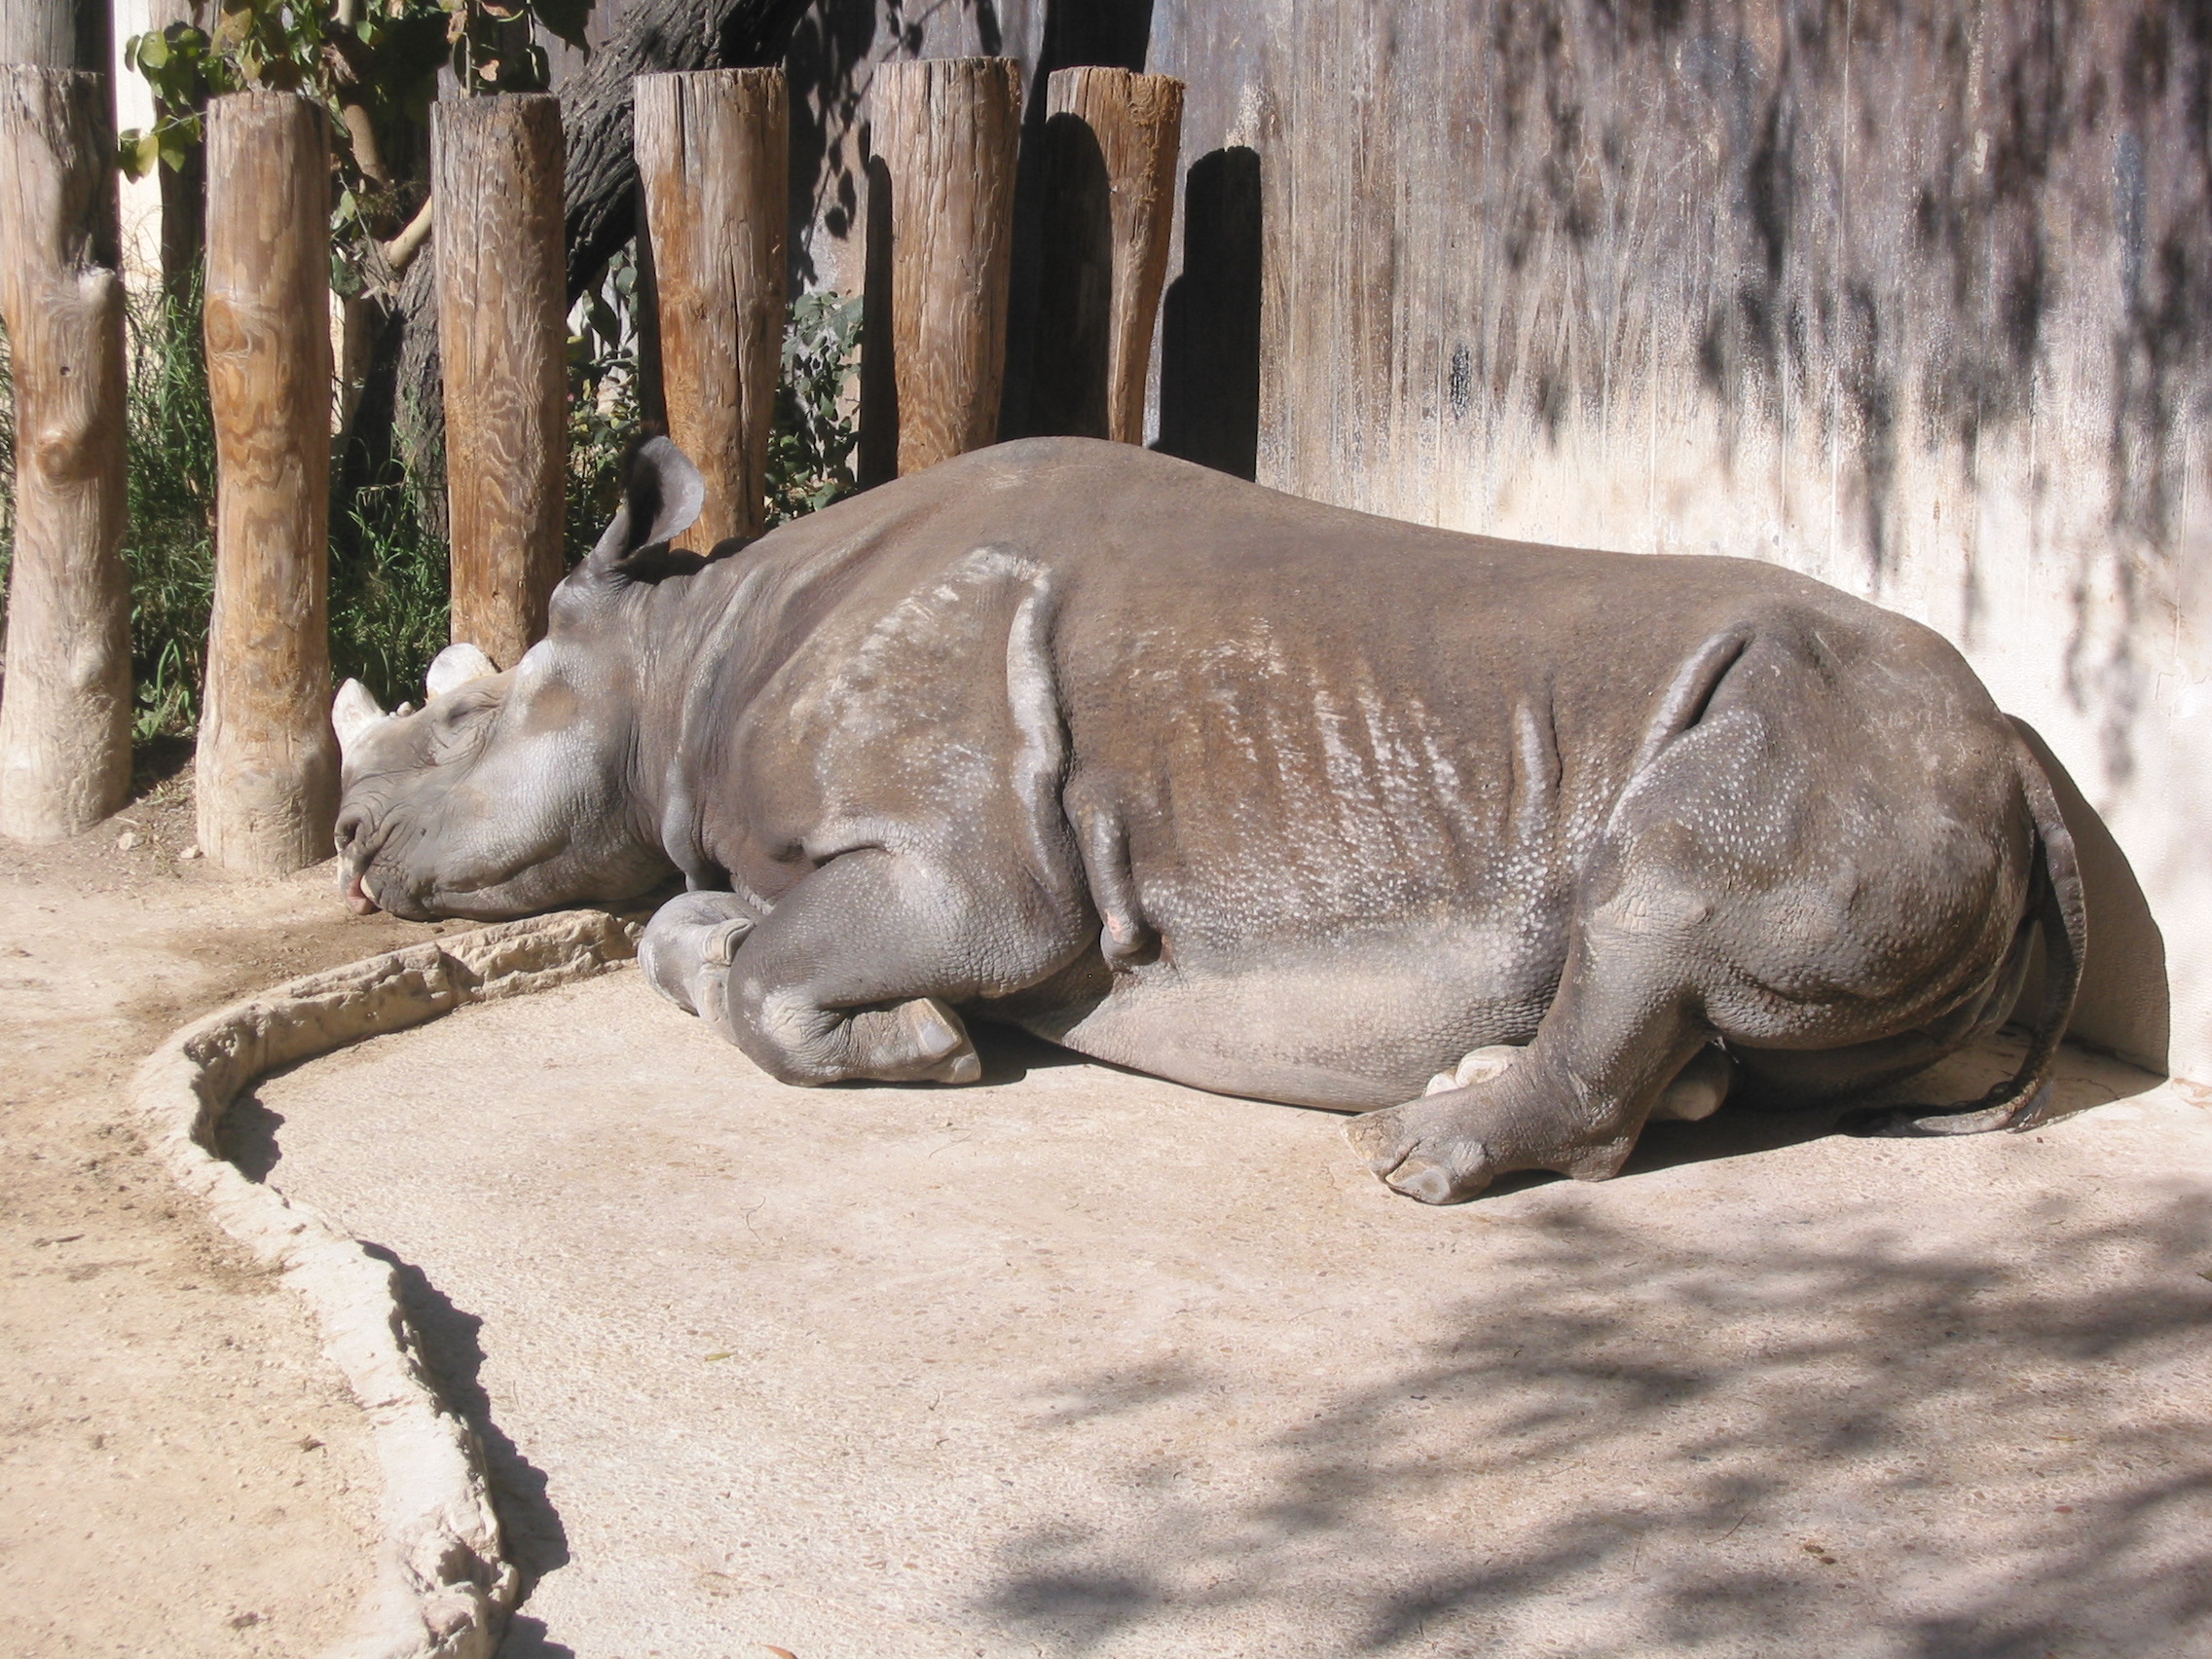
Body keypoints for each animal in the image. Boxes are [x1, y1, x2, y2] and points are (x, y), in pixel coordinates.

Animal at [331, 436, 2083, 1204]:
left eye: (465, 717)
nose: (345, 849)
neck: (689, 644)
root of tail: (2019, 754)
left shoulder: (970, 873)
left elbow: (785, 966)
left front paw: (922, 1046)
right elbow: (687, 936)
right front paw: (834, 1002)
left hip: (1829, 731)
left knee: (1663, 893)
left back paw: (1408, 1150)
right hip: (1893, 759)